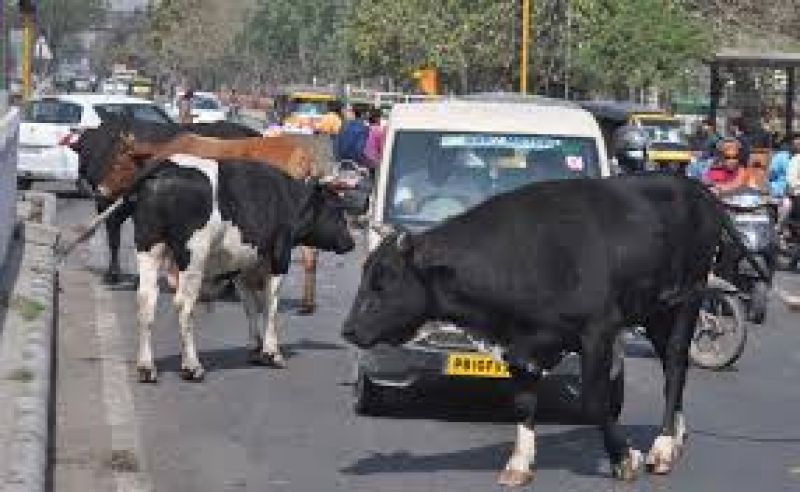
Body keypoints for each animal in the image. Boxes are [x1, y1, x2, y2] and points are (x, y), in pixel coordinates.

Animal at [133, 155, 354, 382]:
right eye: (337, 209)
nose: (350, 242)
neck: (287, 198)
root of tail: (168, 164)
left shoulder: (242, 268)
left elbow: (250, 306)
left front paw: (256, 349)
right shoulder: (280, 258)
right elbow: (271, 305)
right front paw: (272, 353)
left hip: (149, 247)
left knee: (146, 299)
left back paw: (146, 367)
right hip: (193, 256)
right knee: (184, 304)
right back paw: (192, 366)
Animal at [342, 173, 760, 486]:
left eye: (385, 280)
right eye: (365, 273)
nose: (348, 329)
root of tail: (697, 190)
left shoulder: (599, 330)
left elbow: (595, 400)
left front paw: (624, 457)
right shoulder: (518, 344)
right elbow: (524, 401)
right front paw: (518, 463)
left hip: (687, 298)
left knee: (675, 367)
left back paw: (661, 447)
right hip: (655, 311)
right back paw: (675, 436)